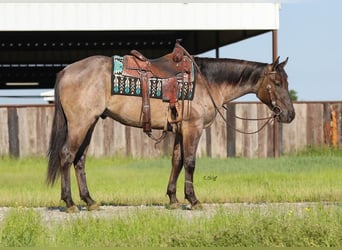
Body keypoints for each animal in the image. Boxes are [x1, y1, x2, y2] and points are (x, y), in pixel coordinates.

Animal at [46, 50, 296, 213]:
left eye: (286, 81)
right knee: (67, 155)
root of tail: (66, 71)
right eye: (277, 82)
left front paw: (173, 199)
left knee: (79, 160)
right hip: (80, 123)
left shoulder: (179, 130)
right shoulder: (193, 128)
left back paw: (90, 201)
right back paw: (70, 203)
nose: (290, 114)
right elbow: (191, 163)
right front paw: (193, 201)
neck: (207, 82)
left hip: (90, 124)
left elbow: (177, 161)